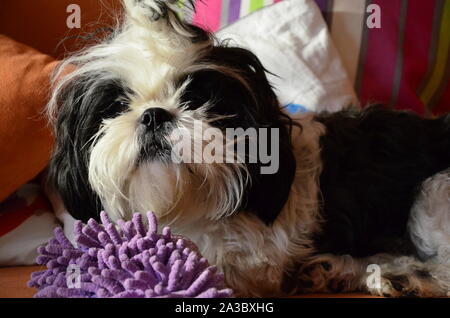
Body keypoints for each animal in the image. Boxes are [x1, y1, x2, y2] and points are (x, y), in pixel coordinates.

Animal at [45, 0, 450, 298]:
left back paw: (408, 278)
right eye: (116, 106)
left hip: (433, 193)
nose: (154, 115)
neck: (190, 207)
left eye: (197, 99)